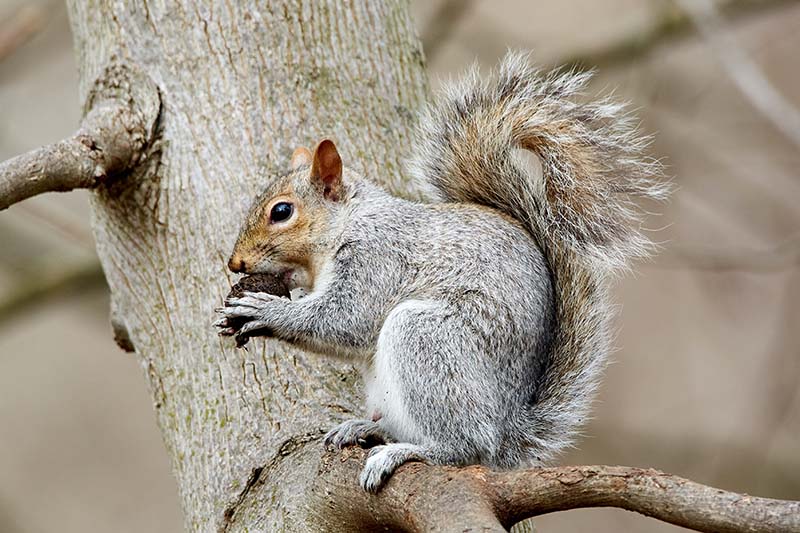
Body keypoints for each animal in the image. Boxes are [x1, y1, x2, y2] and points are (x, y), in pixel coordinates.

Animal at [214, 53, 668, 490]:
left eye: (282, 212)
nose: (235, 263)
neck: (349, 223)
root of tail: (507, 428)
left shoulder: (378, 257)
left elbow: (347, 320)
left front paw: (264, 310)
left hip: (430, 343)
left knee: (465, 446)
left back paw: (410, 451)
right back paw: (367, 429)